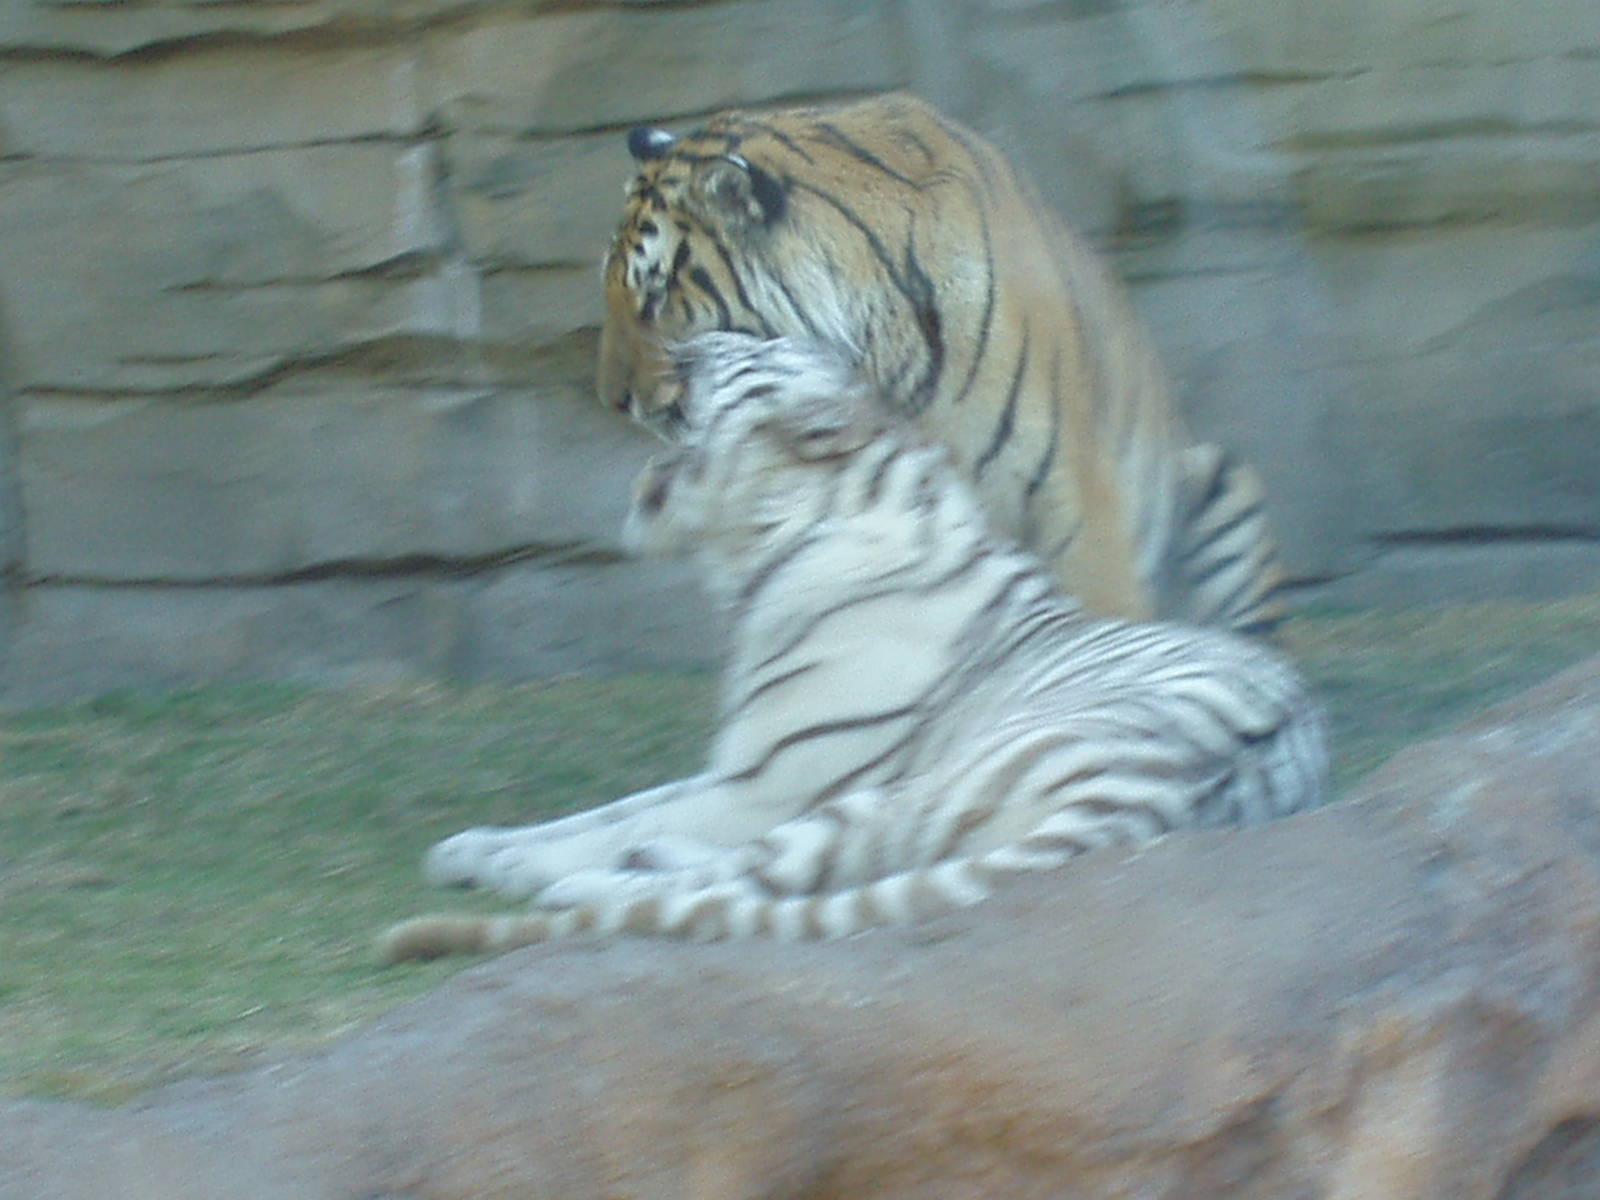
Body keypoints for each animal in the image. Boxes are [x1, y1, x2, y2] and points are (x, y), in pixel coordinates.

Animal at [382, 334, 1326, 962]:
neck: (771, 539)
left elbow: (632, 819)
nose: (685, 340)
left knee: (754, 880)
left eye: (750, 347)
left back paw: (584, 885)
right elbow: (608, 810)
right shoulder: (743, 766)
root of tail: (1157, 794)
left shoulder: (774, 781)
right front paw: (474, 847)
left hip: (895, 797)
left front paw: (514, 862)